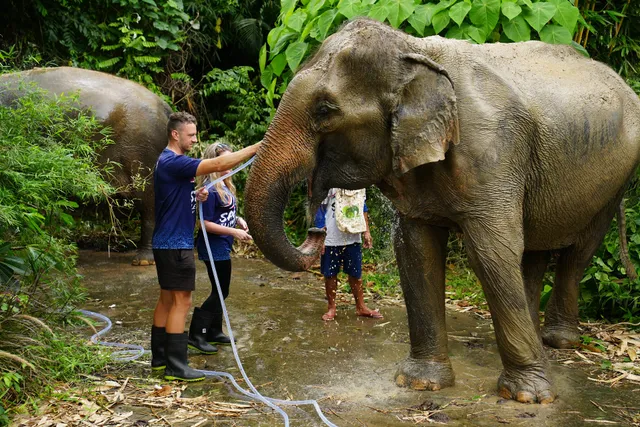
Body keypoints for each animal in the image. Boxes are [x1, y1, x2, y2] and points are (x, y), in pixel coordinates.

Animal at [244, 18, 640, 404]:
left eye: (324, 110)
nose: (315, 229)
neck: (415, 50)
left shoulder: (493, 152)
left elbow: (490, 252)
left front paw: (529, 396)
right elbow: (416, 250)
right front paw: (418, 382)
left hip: (615, 178)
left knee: (578, 251)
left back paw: (558, 341)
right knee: (535, 250)